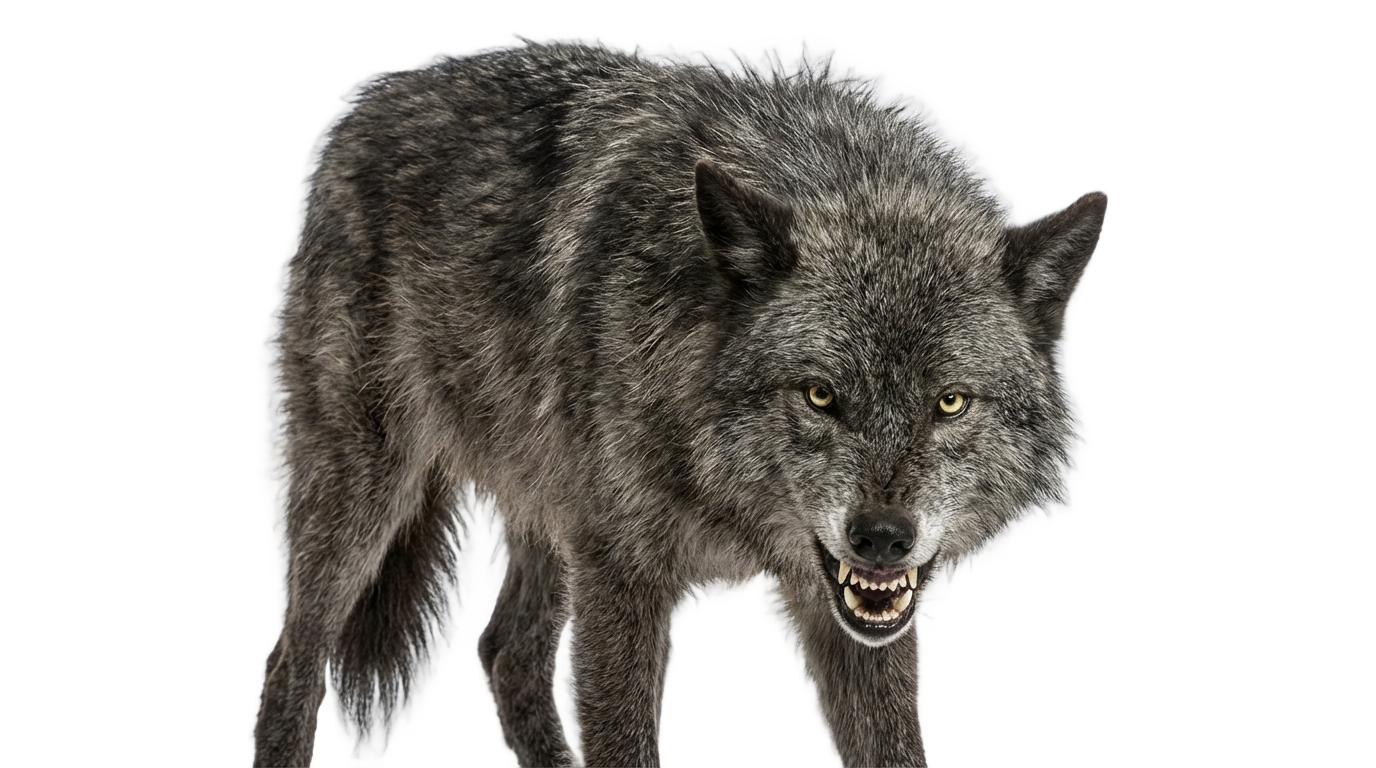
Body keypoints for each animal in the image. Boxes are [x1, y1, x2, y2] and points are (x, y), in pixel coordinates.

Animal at [251, 41, 1105, 767]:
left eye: (951, 403)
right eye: (820, 394)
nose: (883, 539)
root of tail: (369, 101)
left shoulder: (847, 613)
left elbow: (892, 744)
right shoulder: (622, 576)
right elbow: (623, 742)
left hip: (547, 512)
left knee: (505, 651)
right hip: (367, 497)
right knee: (290, 664)